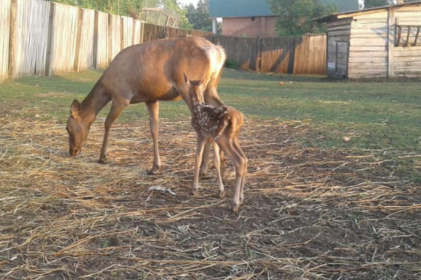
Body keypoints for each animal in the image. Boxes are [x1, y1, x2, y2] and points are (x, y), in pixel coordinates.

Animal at [65, 36, 225, 174]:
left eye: (68, 127)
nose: (72, 151)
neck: (107, 89)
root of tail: (219, 52)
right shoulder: (151, 99)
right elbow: (154, 129)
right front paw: (155, 166)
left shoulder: (121, 97)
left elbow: (107, 123)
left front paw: (102, 157)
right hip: (211, 87)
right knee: (221, 109)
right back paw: (221, 160)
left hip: (189, 85)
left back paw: (204, 168)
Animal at [184, 73, 246, 211]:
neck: (197, 105)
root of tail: (239, 118)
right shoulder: (211, 138)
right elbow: (216, 160)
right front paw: (220, 190)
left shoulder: (200, 134)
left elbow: (198, 157)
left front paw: (194, 188)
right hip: (232, 138)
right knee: (245, 159)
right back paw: (241, 198)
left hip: (222, 137)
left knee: (239, 161)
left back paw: (234, 204)